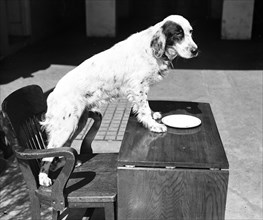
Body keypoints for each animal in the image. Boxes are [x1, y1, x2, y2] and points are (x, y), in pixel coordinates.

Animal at [39, 14, 198, 186]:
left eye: (190, 32)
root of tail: (52, 94)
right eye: (178, 34)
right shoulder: (138, 86)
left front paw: (154, 115)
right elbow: (144, 108)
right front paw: (153, 125)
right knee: (48, 152)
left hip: (78, 123)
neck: (150, 49)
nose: (195, 50)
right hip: (66, 127)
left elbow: (146, 107)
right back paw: (43, 178)